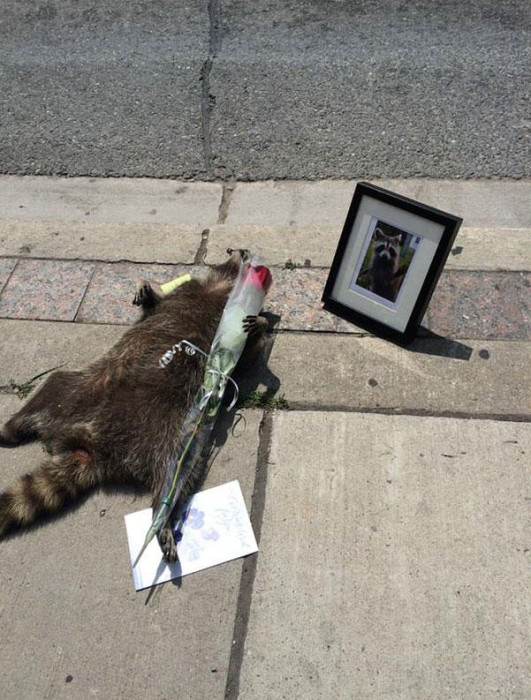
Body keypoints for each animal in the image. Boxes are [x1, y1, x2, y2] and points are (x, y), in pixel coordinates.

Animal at [0, 249, 268, 560]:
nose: (243, 252)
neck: (223, 285)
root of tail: (96, 448)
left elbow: (248, 354)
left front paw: (262, 324)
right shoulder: (185, 291)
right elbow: (153, 306)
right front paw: (145, 287)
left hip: (172, 434)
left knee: (178, 472)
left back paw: (162, 515)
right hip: (84, 389)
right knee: (55, 384)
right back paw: (12, 427)